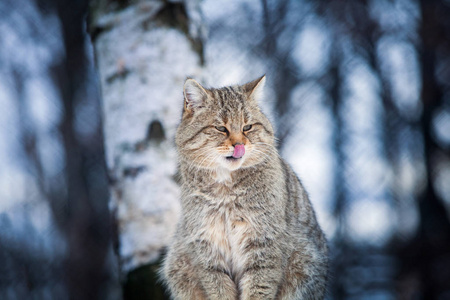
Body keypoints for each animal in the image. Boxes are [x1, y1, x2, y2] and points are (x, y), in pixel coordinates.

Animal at [160, 74, 328, 298]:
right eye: (221, 128)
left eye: (247, 127)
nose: (239, 145)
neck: (225, 190)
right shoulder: (208, 249)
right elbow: (219, 290)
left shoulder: (263, 244)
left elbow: (258, 290)